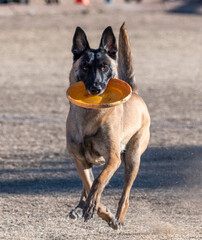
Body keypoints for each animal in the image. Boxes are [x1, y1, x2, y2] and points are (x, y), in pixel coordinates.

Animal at [66, 23, 150, 230]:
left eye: (105, 67)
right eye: (85, 67)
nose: (96, 88)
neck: (90, 116)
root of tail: (134, 92)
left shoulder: (113, 159)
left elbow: (98, 181)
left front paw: (103, 213)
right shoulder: (80, 160)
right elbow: (89, 185)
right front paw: (97, 210)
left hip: (133, 159)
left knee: (125, 195)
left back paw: (118, 219)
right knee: (85, 188)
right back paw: (79, 207)